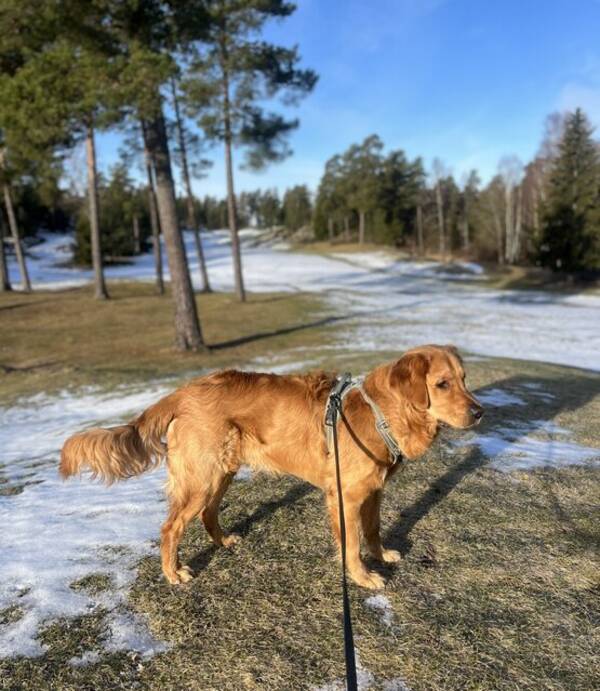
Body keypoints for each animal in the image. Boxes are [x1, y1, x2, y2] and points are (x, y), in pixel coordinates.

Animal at [59, 346, 482, 588]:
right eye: (442, 384)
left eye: (464, 379)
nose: (480, 413)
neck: (382, 412)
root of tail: (184, 391)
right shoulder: (345, 496)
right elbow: (351, 544)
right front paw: (361, 578)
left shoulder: (373, 490)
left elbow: (373, 530)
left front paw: (381, 556)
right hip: (202, 478)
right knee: (171, 527)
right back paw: (172, 573)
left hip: (221, 472)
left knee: (208, 514)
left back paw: (222, 542)